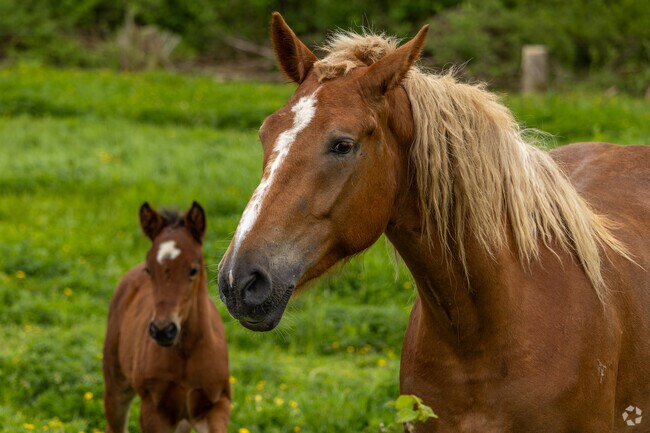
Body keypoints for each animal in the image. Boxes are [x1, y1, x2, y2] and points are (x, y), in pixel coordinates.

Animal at [104, 202, 230, 433]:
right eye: (149, 270)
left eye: (193, 270)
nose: (163, 330)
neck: (187, 352)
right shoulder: (154, 411)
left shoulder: (216, 404)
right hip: (116, 383)